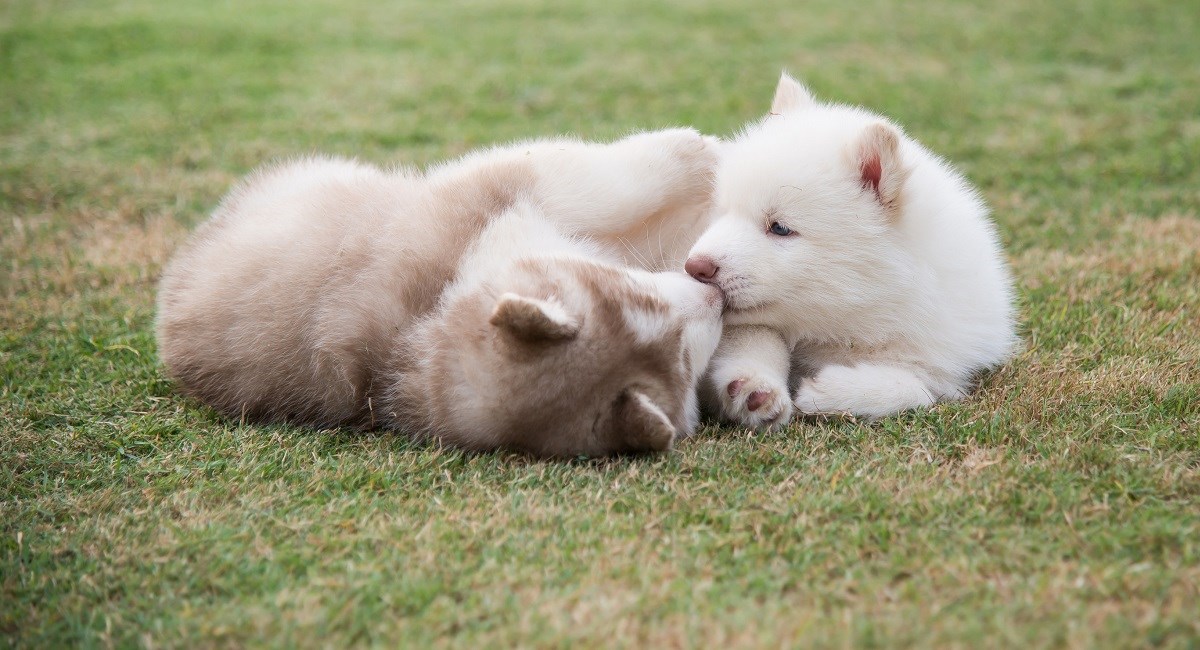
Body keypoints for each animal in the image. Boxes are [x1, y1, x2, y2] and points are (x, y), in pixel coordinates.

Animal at [691, 75, 1017, 426]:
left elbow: (919, 390)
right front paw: (755, 386)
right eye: (720, 212)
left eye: (779, 228)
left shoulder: (945, 357)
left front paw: (830, 390)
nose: (694, 266)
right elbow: (756, 336)